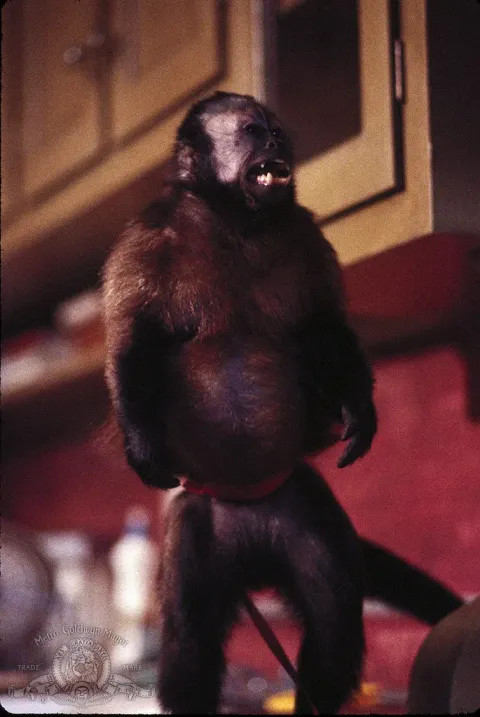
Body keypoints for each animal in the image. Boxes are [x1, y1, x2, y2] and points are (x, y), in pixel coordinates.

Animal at [102, 92, 460, 713]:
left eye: (278, 131)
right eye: (251, 131)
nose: (275, 143)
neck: (236, 219)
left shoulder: (305, 236)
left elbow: (324, 328)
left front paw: (361, 413)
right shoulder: (146, 238)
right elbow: (135, 344)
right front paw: (142, 446)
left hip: (300, 509)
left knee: (333, 618)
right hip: (201, 526)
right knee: (191, 635)